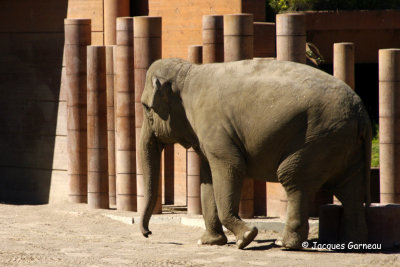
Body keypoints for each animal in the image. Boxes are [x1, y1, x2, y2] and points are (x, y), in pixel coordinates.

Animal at [138, 57, 372, 250]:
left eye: (146, 108)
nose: (148, 233)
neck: (188, 72)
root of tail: (361, 111)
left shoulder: (213, 127)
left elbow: (230, 167)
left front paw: (246, 238)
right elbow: (208, 180)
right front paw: (209, 242)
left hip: (318, 138)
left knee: (294, 179)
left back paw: (285, 244)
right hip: (342, 142)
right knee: (349, 189)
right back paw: (352, 243)